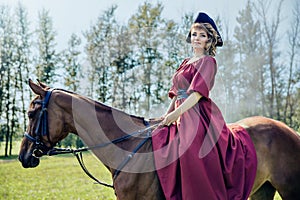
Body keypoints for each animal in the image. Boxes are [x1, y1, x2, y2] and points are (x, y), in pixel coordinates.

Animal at [18, 80, 300, 200]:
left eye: (31, 113)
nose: (23, 156)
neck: (127, 147)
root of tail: (289, 131)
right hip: (262, 190)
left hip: (289, 190)